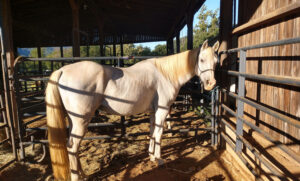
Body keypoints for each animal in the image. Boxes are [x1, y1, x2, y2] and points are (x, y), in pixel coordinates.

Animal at [47, 40, 219, 181]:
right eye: (202, 60)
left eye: (216, 61)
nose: (211, 84)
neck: (165, 74)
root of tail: (62, 71)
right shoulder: (162, 110)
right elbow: (159, 133)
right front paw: (159, 159)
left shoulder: (153, 112)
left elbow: (152, 132)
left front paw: (151, 156)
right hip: (81, 120)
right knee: (73, 147)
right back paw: (78, 177)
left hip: (74, 120)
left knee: (72, 147)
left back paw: (83, 174)